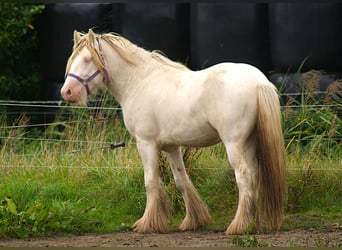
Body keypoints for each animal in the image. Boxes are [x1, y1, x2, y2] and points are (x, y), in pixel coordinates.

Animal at [60, 29, 286, 234]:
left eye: (88, 59)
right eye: (72, 59)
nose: (67, 92)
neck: (139, 82)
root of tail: (258, 81)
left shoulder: (146, 144)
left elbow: (151, 181)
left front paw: (147, 224)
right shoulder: (171, 147)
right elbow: (181, 181)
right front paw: (193, 221)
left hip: (233, 143)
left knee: (244, 177)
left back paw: (237, 226)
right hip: (250, 142)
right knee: (254, 177)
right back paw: (253, 224)